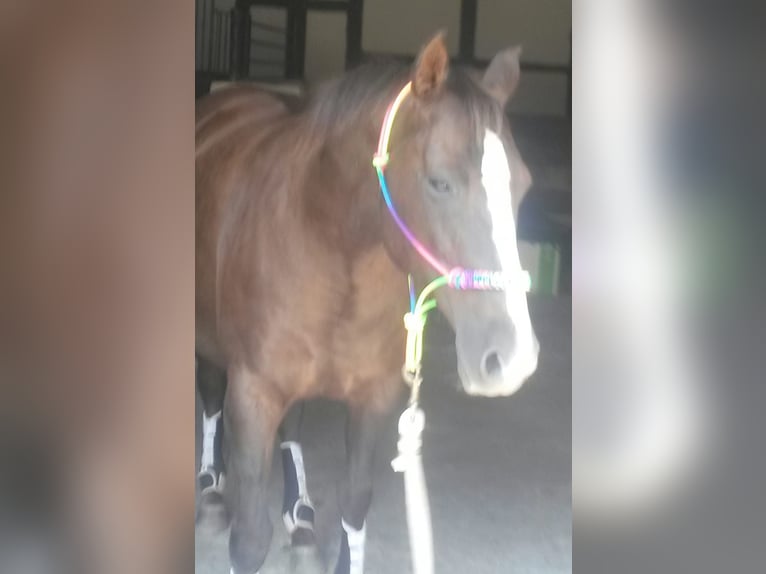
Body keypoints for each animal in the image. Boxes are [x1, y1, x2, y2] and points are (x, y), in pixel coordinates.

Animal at [195, 33, 539, 574]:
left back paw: (301, 514)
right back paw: (210, 491)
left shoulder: (374, 398)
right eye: (439, 182)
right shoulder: (252, 396)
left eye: (522, 184)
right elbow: (248, 536)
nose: (511, 358)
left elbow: (354, 506)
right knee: (209, 393)